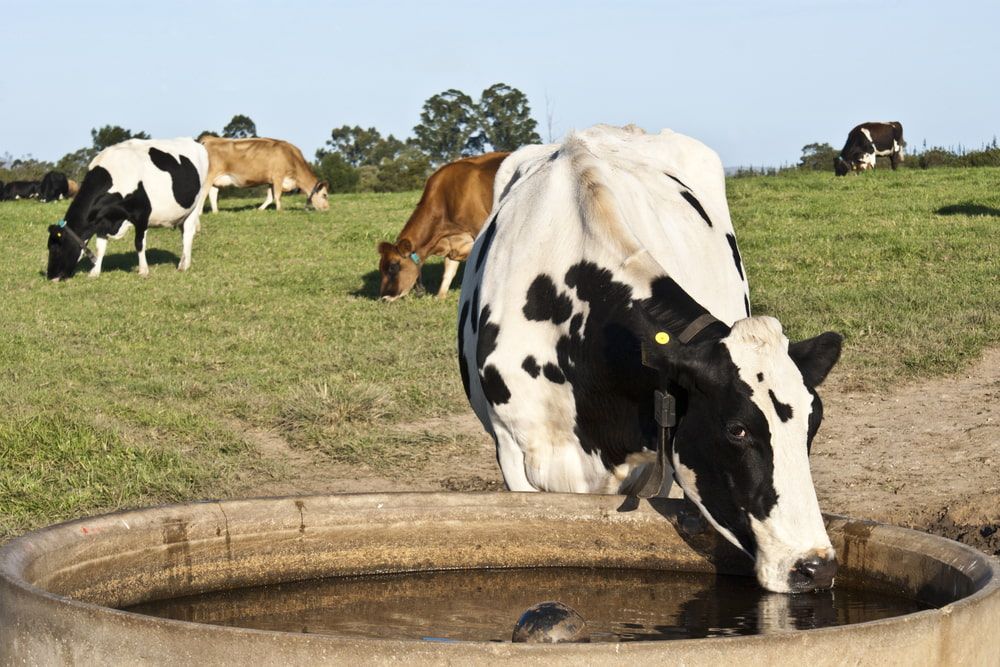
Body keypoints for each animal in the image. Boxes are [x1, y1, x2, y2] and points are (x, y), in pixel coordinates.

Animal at [47, 138, 209, 281]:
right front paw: (95, 272)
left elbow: (139, 243)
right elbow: (100, 247)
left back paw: (183, 266)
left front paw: (143, 270)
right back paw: (184, 262)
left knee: (188, 234)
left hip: (195, 206)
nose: (50, 276)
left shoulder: (142, 214)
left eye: (55, 248)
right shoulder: (102, 221)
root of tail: (195, 142)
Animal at [198, 136, 329, 213]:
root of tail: (210, 139)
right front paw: (280, 210)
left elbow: (270, 197)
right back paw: (199, 213)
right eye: (325, 195)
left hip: (216, 180)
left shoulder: (271, 181)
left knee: (212, 194)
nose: (327, 208)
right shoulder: (278, 176)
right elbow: (277, 195)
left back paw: (216, 212)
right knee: (203, 194)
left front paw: (259, 209)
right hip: (208, 176)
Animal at [377, 152, 509, 301]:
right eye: (380, 268)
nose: (384, 297)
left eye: (393, 267)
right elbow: (448, 272)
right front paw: (440, 297)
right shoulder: (453, 244)